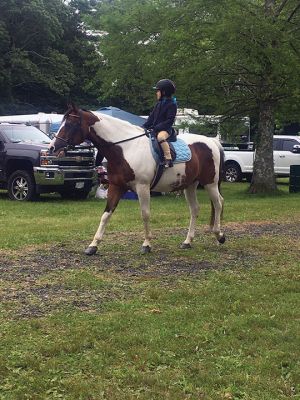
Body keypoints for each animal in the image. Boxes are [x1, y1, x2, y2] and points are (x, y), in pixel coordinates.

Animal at [51, 104, 225, 255]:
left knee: (218, 203)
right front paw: (93, 245)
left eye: (71, 124)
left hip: (210, 183)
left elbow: (145, 214)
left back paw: (219, 235)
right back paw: (188, 241)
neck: (126, 148)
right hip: (190, 185)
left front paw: (146, 244)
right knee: (195, 209)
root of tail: (212, 141)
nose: (53, 147)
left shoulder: (142, 187)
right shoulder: (116, 186)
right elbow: (106, 214)